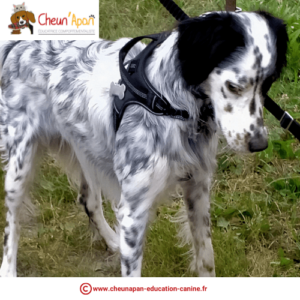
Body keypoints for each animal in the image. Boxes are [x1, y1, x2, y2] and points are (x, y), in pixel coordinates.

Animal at [0, 10, 288, 278]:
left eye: (267, 84)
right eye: (234, 86)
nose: (259, 144)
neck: (166, 100)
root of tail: (17, 45)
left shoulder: (197, 188)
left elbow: (206, 258)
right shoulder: (133, 212)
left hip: (87, 149)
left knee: (88, 200)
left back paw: (111, 240)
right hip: (20, 167)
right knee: (12, 223)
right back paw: (9, 270)